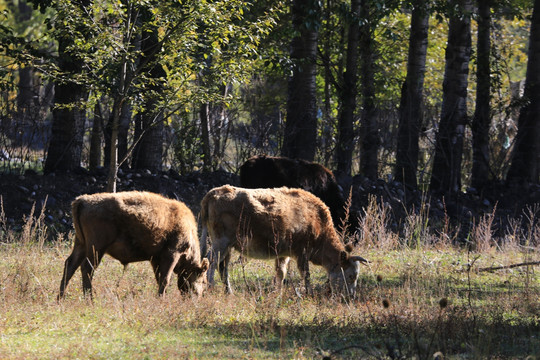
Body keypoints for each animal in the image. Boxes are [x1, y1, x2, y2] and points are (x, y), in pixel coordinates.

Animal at [58, 191, 209, 298]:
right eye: (203, 280)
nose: (198, 297)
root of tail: (82, 200)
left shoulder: (155, 259)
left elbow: (159, 278)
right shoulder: (172, 254)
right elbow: (165, 279)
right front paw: (161, 299)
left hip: (81, 244)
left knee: (70, 265)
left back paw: (60, 299)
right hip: (96, 248)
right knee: (87, 268)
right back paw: (89, 300)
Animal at [200, 186, 370, 296]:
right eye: (351, 276)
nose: (352, 296)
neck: (317, 221)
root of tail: (213, 193)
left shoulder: (283, 254)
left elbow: (280, 273)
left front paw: (277, 292)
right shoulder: (301, 254)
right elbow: (306, 274)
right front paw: (309, 293)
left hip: (228, 246)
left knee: (223, 266)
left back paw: (229, 292)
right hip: (221, 243)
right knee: (211, 261)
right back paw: (210, 288)